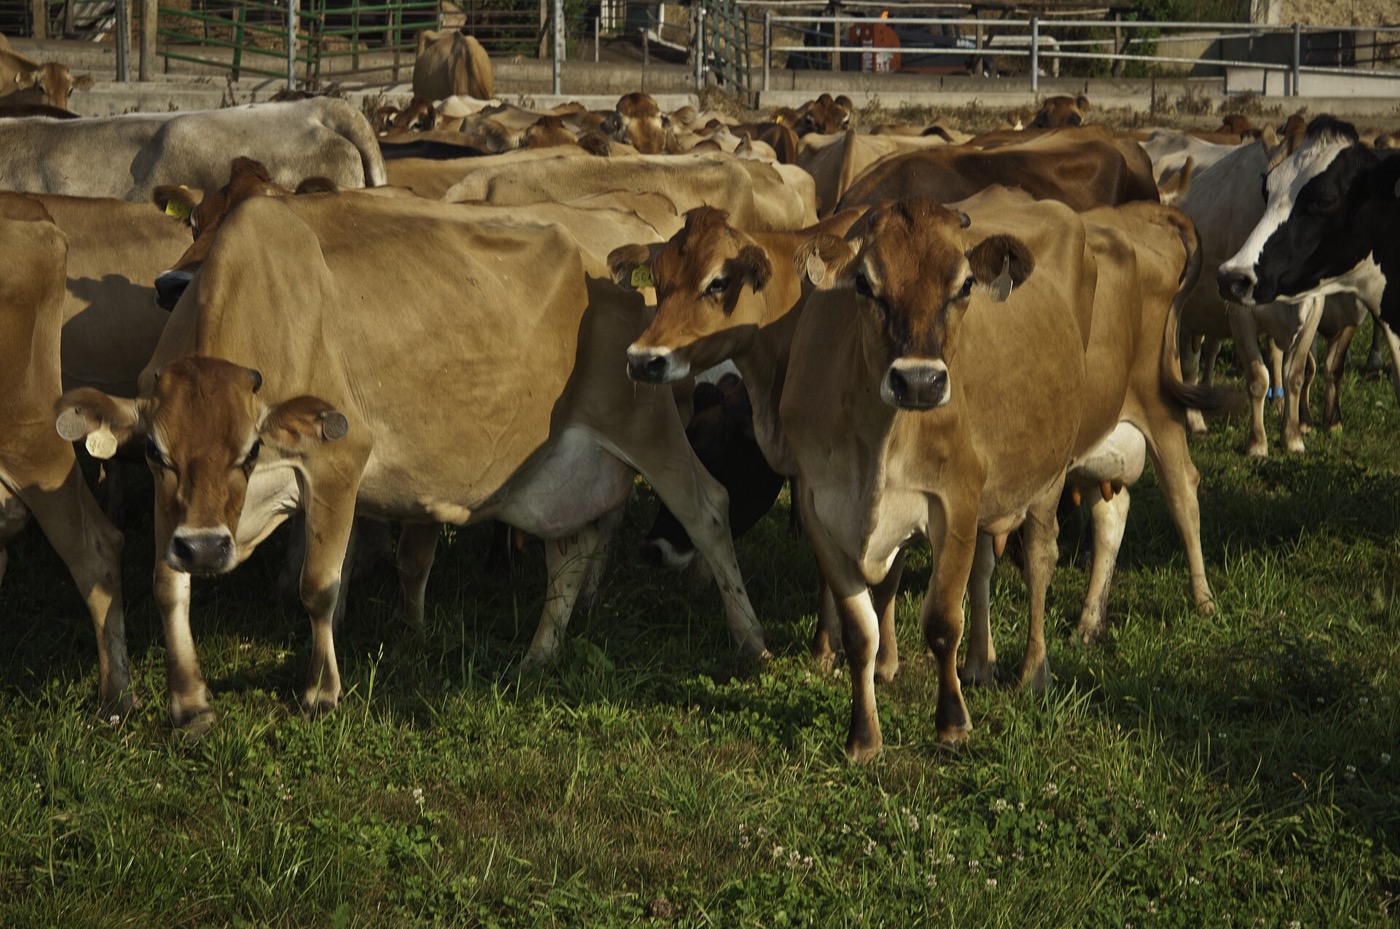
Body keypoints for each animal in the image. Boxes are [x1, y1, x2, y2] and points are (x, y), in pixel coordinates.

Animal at [55, 192, 767, 733]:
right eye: (154, 452)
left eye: (250, 449)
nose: (205, 547)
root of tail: (612, 270)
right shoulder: (176, 509)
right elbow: (166, 584)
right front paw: (190, 702)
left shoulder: (339, 456)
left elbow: (320, 586)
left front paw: (321, 691)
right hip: (556, 469)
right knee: (567, 551)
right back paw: (538, 657)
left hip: (643, 420)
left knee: (707, 509)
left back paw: (752, 643)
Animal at [777, 193, 1219, 760]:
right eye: (864, 283)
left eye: (964, 285)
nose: (918, 381)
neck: (875, 443)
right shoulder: (821, 510)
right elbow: (861, 631)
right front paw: (864, 736)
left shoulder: (955, 501)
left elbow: (943, 622)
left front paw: (951, 722)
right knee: (1090, 521)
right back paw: (1030, 644)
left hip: (1112, 430)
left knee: (1122, 521)